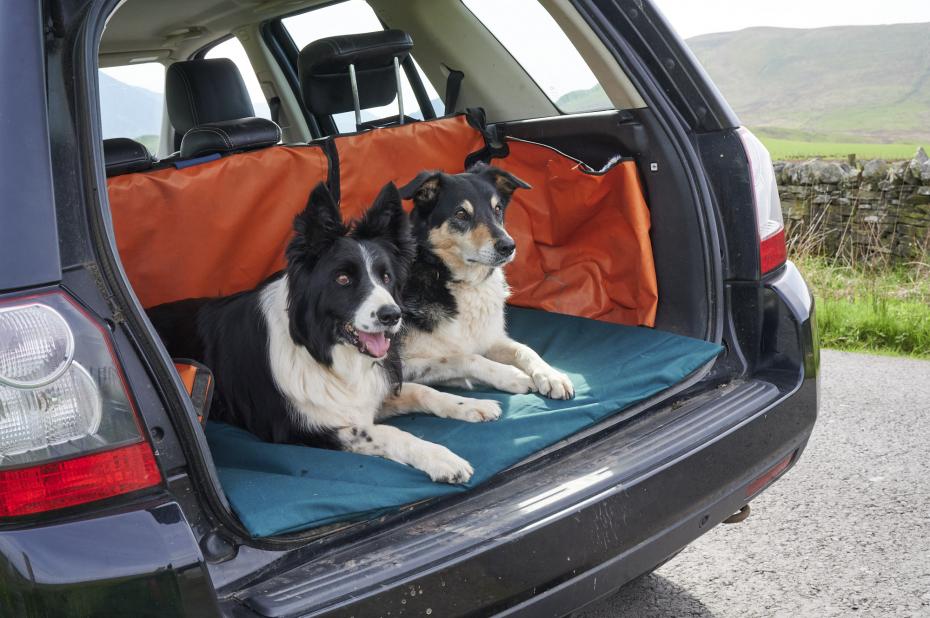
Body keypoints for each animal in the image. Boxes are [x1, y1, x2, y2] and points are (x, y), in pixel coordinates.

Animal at [150, 183, 500, 482]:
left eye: (386, 277)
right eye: (343, 279)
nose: (392, 316)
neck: (319, 348)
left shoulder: (367, 393)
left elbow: (422, 391)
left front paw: (472, 405)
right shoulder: (305, 429)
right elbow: (386, 432)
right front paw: (441, 458)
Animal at [398, 161, 572, 398]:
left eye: (497, 209)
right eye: (461, 214)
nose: (509, 246)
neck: (462, 283)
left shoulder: (491, 339)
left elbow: (525, 349)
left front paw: (551, 375)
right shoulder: (398, 366)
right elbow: (464, 357)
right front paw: (511, 376)